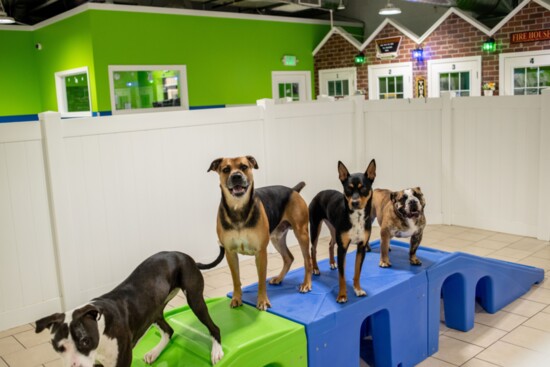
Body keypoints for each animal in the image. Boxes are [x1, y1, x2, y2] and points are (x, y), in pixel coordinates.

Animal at [35, 253, 225, 367]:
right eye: (59, 348)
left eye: (85, 341)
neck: (102, 329)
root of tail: (185, 256)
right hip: (154, 312)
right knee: (169, 331)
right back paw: (154, 353)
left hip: (195, 300)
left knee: (214, 328)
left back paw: (216, 351)